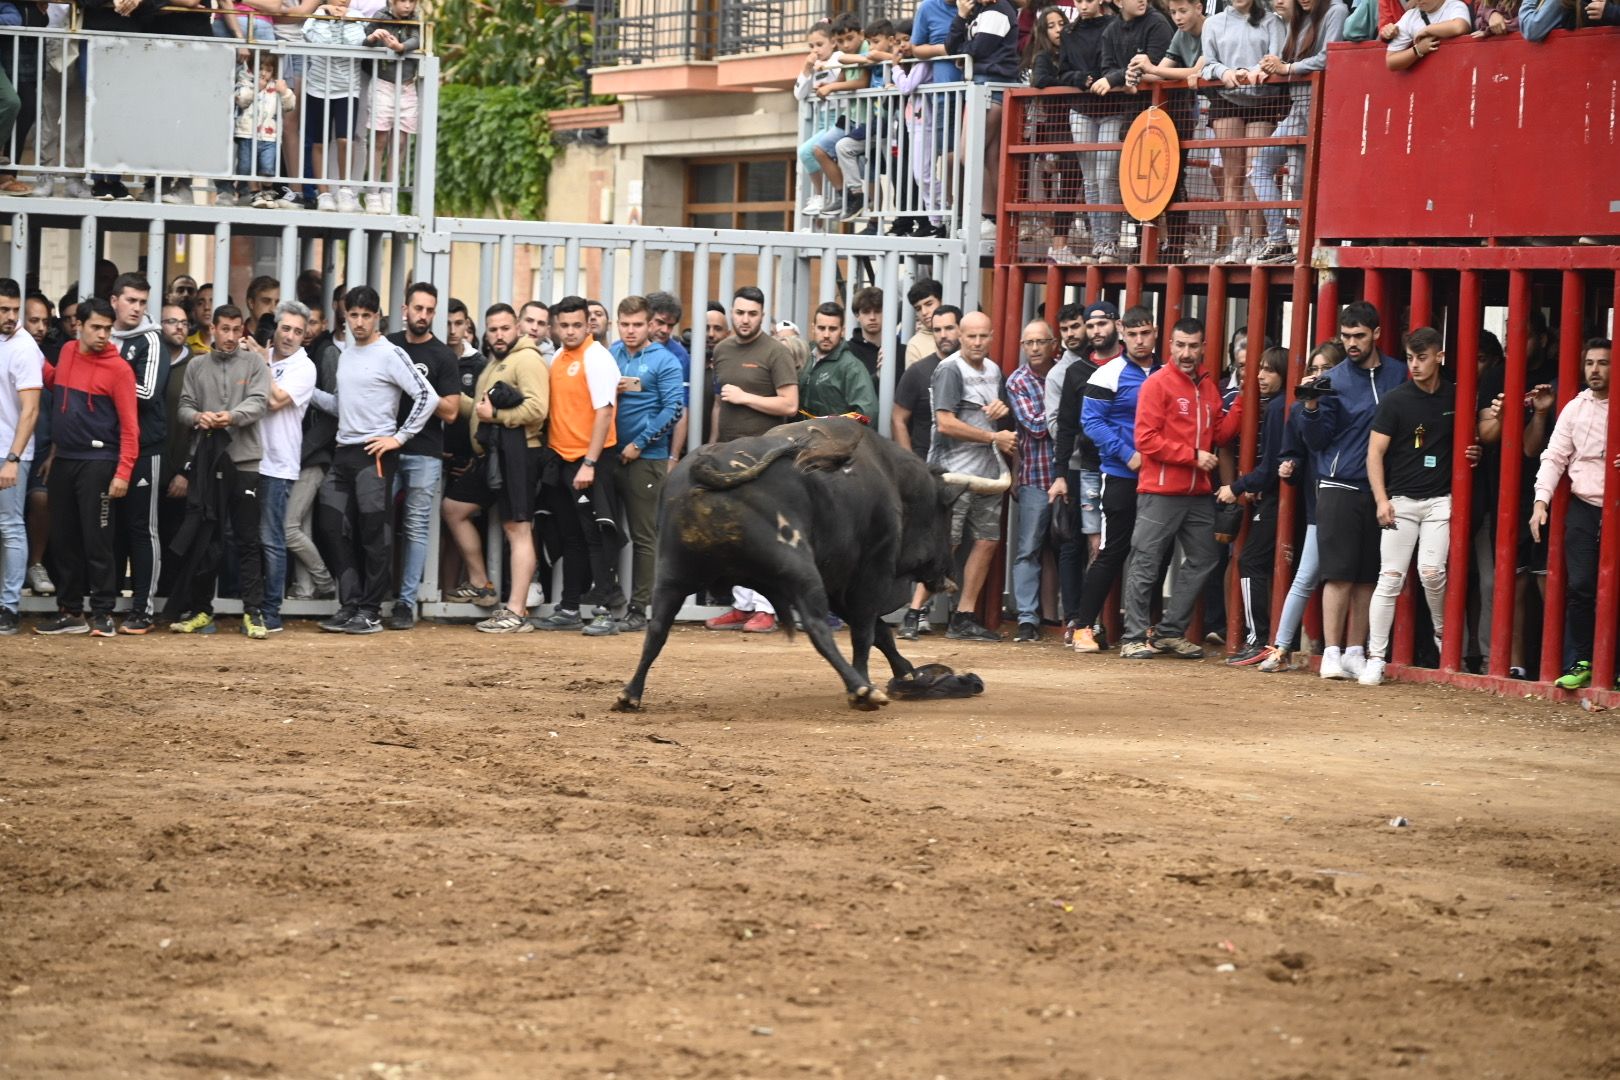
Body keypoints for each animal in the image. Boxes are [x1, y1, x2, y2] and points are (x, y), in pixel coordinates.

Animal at [612, 417, 1004, 712]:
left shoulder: (839, 584)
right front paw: (870, 679)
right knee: (817, 629)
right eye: (945, 514)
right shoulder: (869, 574)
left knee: (657, 629)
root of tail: (708, 467)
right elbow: (866, 632)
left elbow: (879, 632)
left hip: (672, 575)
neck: (892, 477)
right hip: (798, 570)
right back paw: (861, 691)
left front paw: (906, 672)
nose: (948, 576)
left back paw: (630, 694)